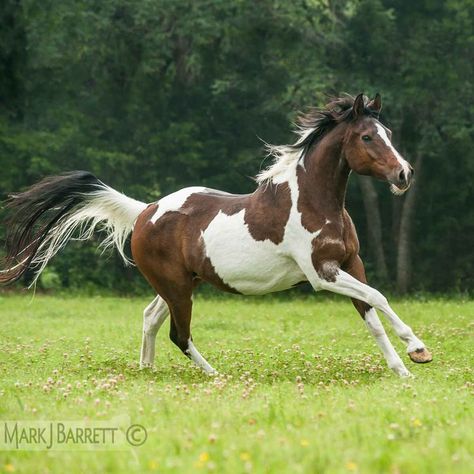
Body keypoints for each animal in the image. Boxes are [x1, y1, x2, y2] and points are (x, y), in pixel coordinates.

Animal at [0, 94, 434, 378]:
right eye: (366, 137)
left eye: (387, 131)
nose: (405, 174)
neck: (314, 201)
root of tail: (145, 212)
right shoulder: (321, 273)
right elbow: (378, 297)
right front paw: (418, 349)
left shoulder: (349, 263)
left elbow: (372, 311)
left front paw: (405, 367)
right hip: (177, 287)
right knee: (179, 334)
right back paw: (214, 375)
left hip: (178, 284)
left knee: (151, 318)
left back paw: (147, 370)